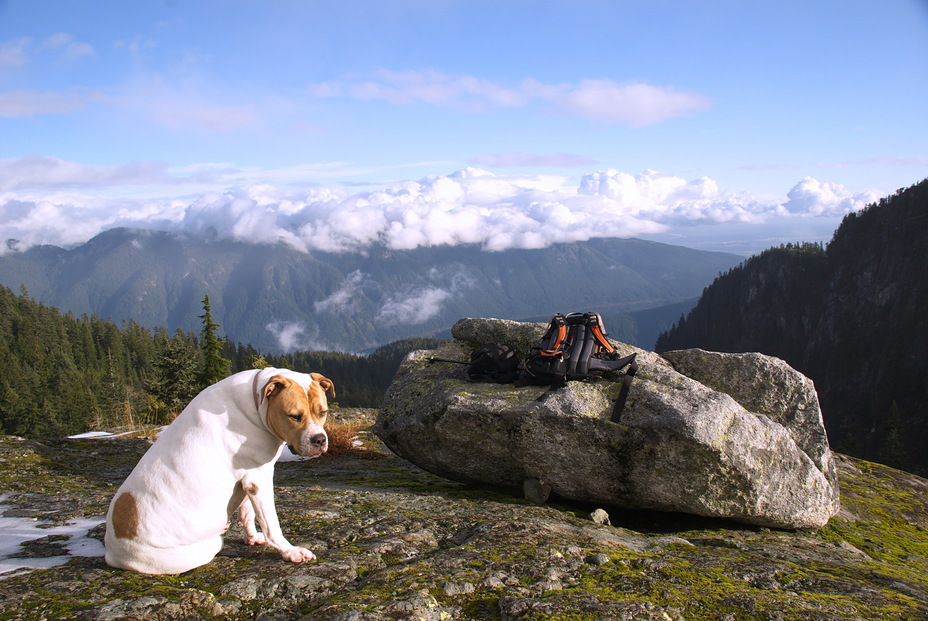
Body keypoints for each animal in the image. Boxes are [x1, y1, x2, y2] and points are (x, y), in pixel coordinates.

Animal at [104, 366, 336, 572]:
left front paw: (252, 538)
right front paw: (290, 551)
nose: (318, 440)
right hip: (199, 549)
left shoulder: (246, 481)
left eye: (322, 412)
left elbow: (247, 514)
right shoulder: (258, 479)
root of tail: (114, 550)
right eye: (294, 416)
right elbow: (270, 523)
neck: (256, 403)